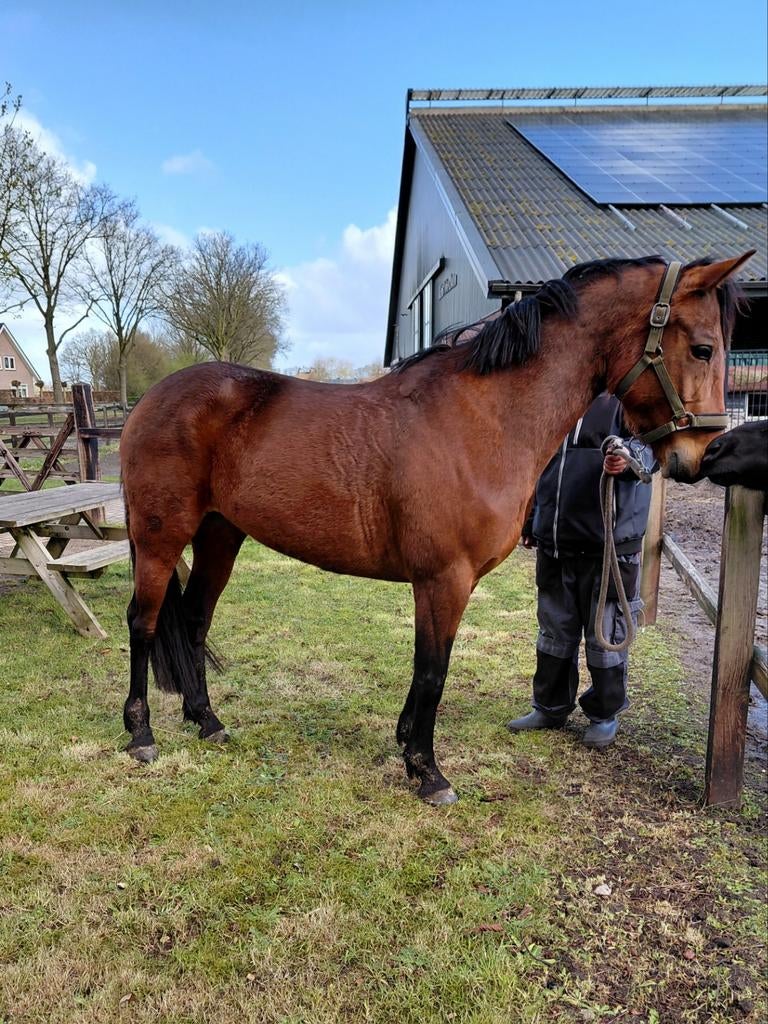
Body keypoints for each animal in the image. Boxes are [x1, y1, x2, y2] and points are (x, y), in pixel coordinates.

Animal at [120, 250, 752, 805]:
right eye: (703, 348)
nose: (700, 456)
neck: (482, 419)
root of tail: (151, 399)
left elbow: (427, 670)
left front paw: (407, 746)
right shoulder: (444, 579)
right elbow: (433, 671)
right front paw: (428, 771)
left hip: (220, 533)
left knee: (194, 620)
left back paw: (207, 721)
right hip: (160, 536)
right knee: (144, 621)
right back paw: (141, 733)